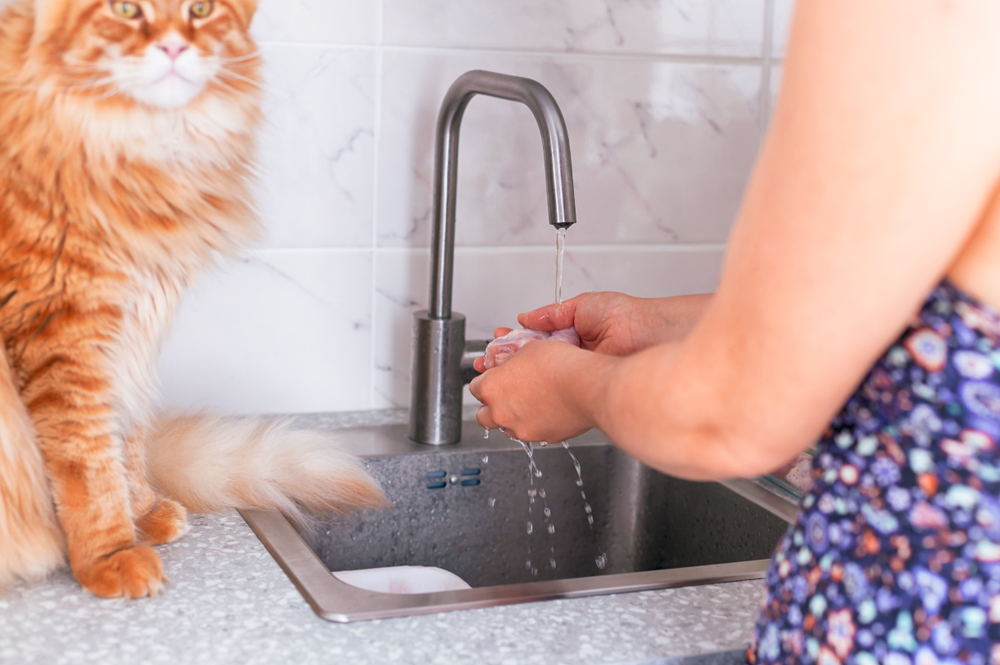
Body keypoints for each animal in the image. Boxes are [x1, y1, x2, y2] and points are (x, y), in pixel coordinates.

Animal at [0, 0, 384, 600]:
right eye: (125, 10)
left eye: (199, 10)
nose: (175, 47)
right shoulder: (62, 336)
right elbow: (89, 465)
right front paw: (110, 554)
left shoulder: (131, 335)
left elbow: (126, 446)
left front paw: (142, 515)